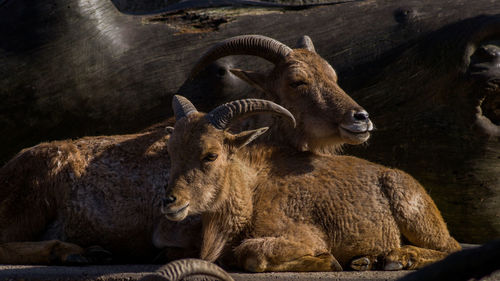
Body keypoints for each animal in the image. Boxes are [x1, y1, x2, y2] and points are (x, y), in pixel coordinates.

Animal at [164, 95, 460, 272]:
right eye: (172, 151)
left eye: (210, 155)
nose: (171, 201)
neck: (252, 193)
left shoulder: (303, 235)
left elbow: (252, 255)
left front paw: (328, 261)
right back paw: (368, 259)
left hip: (416, 217)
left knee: (451, 248)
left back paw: (398, 258)